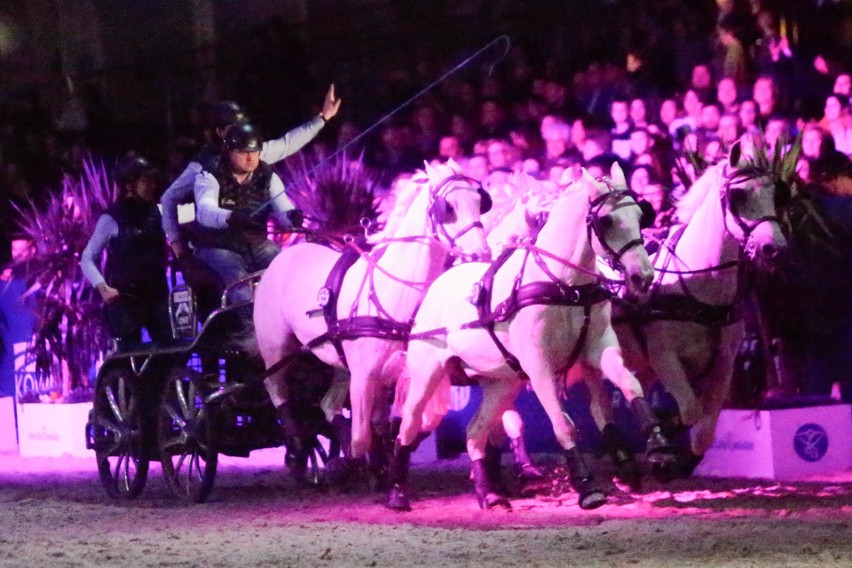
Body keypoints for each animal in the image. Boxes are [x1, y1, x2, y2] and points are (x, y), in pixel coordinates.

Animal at [253, 161, 490, 480]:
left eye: (480, 202)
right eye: (448, 207)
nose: (481, 253)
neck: (393, 292)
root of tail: (283, 256)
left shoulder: (400, 373)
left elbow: (404, 424)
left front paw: (386, 464)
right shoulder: (365, 375)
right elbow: (363, 436)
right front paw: (368, 468)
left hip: (338, 362)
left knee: (328, 404)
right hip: (277, 348)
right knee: (278, 389)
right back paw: (297, 451)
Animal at [390, 163, 656, 510]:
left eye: (640, 214)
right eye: (607, 221)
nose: (643, 277)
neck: (564, 285)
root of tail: (438, 284)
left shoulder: (598, 348)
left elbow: (630, 385)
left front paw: (658, 443)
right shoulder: (539, 365)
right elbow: (564, 424)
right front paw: (587, 487)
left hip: (503, 382)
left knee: (475, 432)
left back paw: (488, 494)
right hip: (427, 374)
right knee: (408, 426)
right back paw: (397, 492)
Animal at [596, 140, 788, 478]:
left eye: (774, 193)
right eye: (739, 195)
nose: (773, 248)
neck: (699, 290)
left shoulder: (724, 363)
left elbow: (705, 429)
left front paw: (676, 456)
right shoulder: (665, 359)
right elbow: (690, 410)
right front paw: (663, 449)